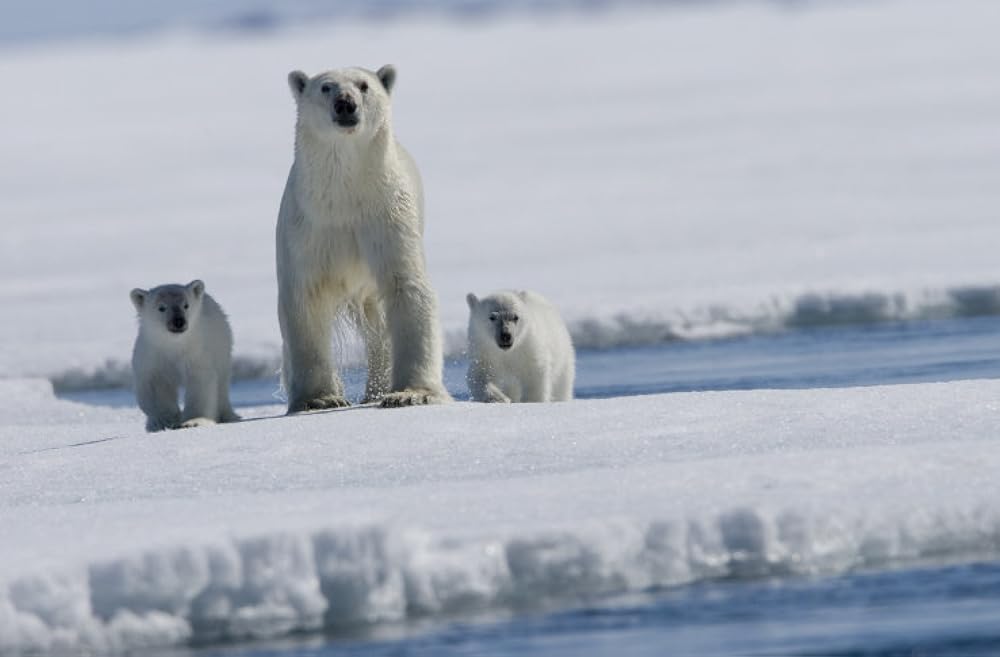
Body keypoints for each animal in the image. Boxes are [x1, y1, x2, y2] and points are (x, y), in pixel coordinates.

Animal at [274, 62, 450, 410]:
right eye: (325, 87)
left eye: (364, 85)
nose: (345, 104)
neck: (344, 195)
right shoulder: (307, 228)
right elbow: (304, 299)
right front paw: (320, 398)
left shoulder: (387, 217)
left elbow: (407, 288)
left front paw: (410, 393)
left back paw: (377, 390)